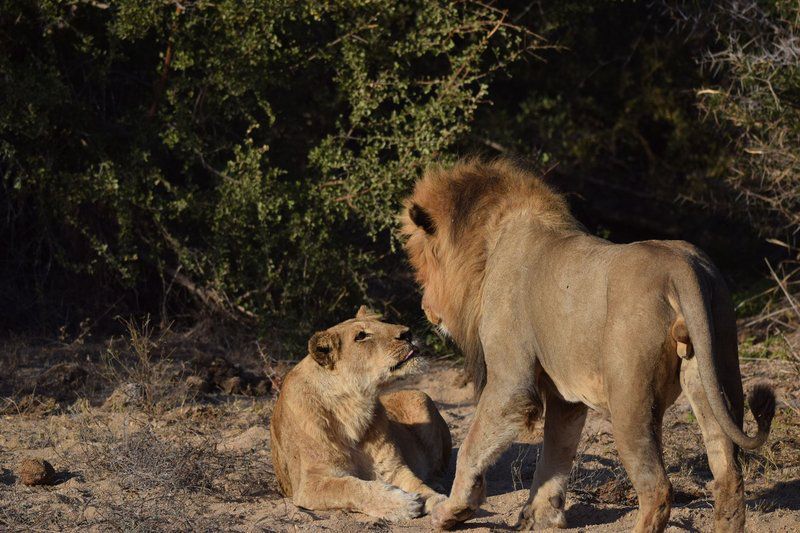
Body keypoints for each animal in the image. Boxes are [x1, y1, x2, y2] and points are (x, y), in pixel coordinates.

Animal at [268, 308, 450, 520]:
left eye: (383, 321)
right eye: (361, 336)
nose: (408, 333)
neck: (353, 406)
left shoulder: (393, 469)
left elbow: (417, 484)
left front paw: (440, 502)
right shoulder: (309, 484)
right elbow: (350, 487)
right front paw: (403, 503)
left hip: (419, 396)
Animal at [400, 159, 776, 532]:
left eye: (421, 263)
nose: (424, 307)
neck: (488, 246)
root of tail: (681, 266)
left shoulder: (511, 382)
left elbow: (472, 446)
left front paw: (453, 510)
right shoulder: (565, 398)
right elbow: (555, 453)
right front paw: (540, 517)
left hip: (630, 399)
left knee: (657, 488)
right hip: (717, 369)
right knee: (728, 473)